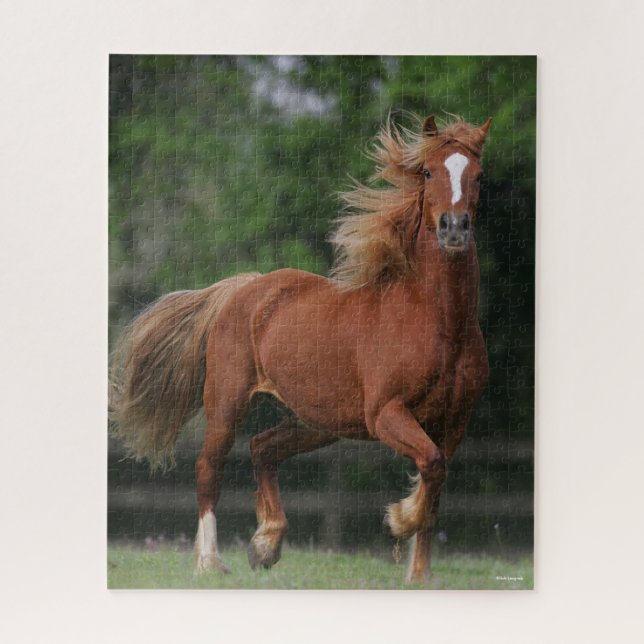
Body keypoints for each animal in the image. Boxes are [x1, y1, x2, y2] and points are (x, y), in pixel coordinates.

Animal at [109, 113, 492, 583]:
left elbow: (435, 481)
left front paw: (419, 576)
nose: (454, 229)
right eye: (427, 172)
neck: (438, 324)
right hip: (227, 402)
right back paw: (210, 563)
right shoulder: (386, 413)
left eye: (479, 175)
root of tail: (243, 288)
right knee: (209, 469)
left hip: (318, 421)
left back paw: (265, 545)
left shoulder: (454, 424)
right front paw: (400, 519)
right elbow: (431, 469)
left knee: (263, 448)